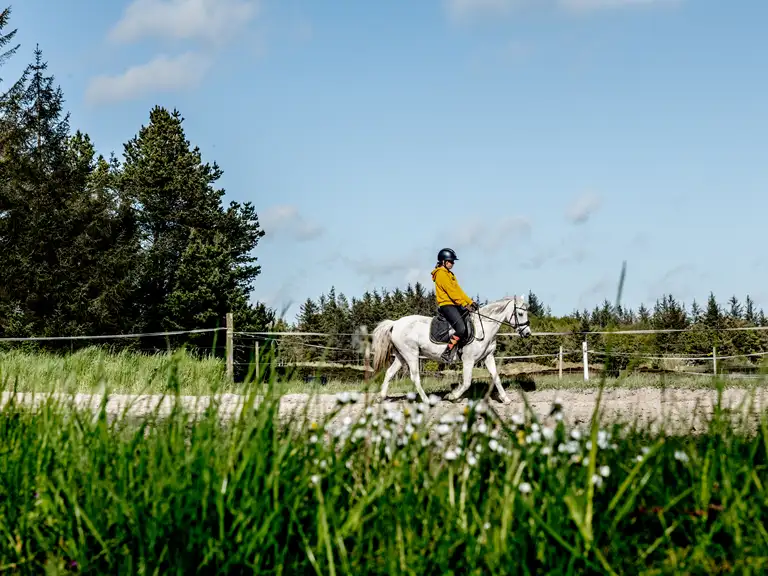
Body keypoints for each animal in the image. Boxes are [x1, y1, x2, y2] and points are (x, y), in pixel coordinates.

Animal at [370, 295, 532, 404]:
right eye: (520, 313)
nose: (527, 333)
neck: (483, 327)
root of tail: (395, 323)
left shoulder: (488, 357)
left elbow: (496, 377)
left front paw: (505, 399)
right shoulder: (468, 360)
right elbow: (466, 382)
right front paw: (452, 396)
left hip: (401, 355)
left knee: (389, 373)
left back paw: (380, 397)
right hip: (411, 354)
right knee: (414, 377)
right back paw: (426, 401)